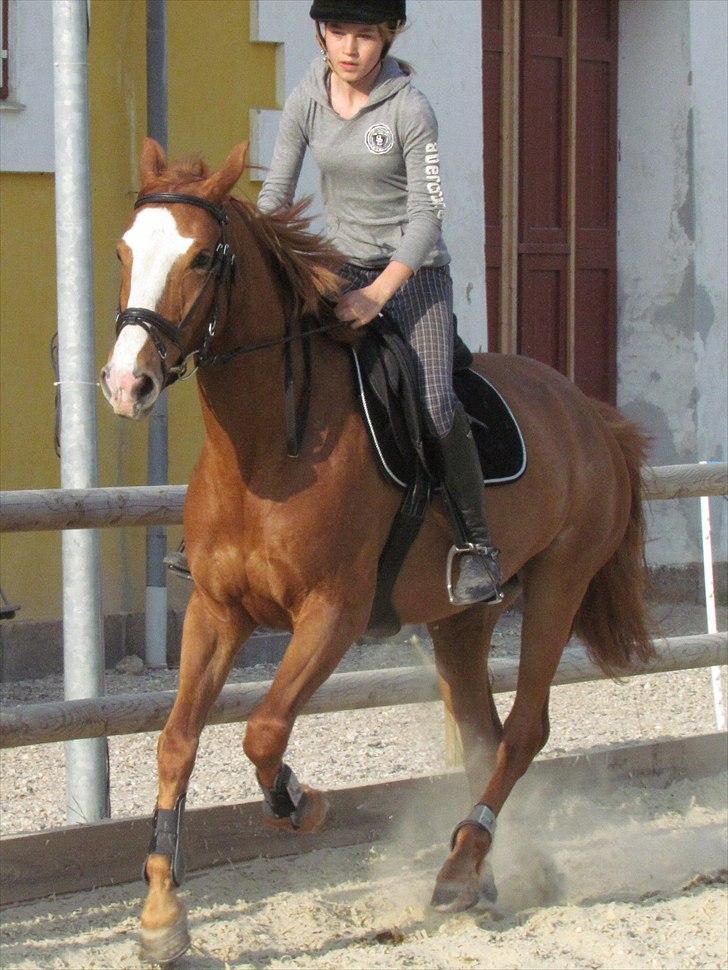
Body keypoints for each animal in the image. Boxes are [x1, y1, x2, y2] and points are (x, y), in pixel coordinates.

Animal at [102, 138, 653, 964]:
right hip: (461, 619)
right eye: (124, 249)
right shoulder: (216, 609)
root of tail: (590, 414)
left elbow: (264, 730)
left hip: (560, 584)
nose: (125, 382)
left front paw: (301, 803)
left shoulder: (333, 613)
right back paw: (486, 871)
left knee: (525, 730)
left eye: (201, 258)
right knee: (484, 735)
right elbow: (176, 743)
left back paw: (458, 871)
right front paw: (163, 917)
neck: (266, 449)